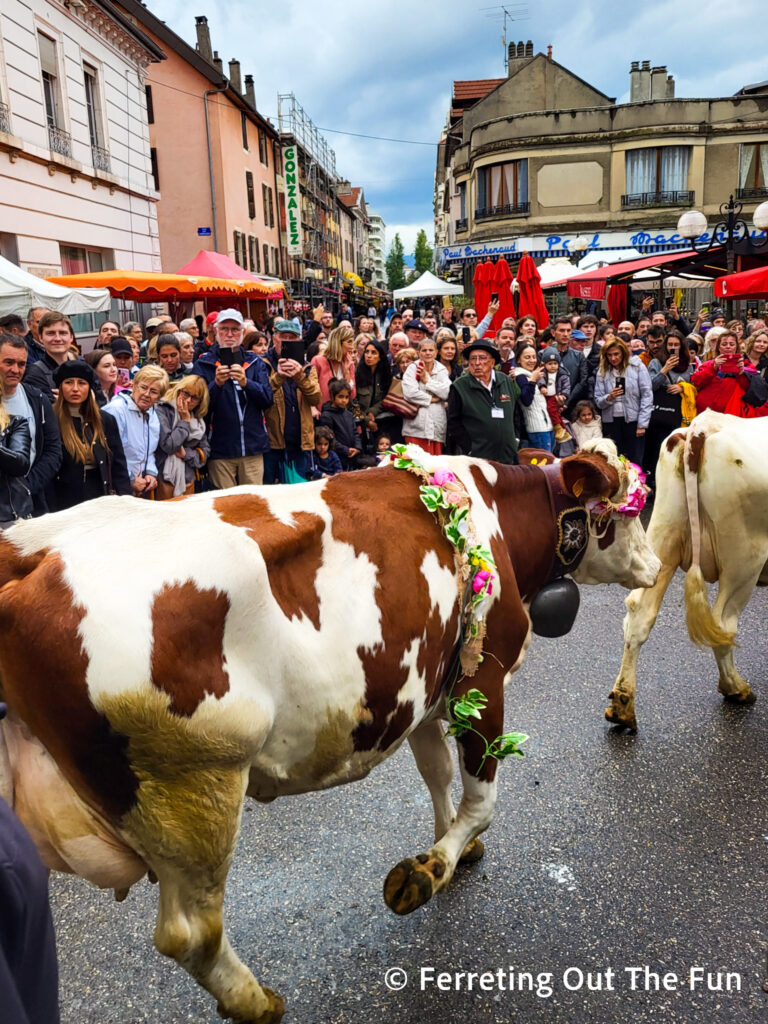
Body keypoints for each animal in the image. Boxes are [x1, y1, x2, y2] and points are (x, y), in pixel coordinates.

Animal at [0, 442, 663, 1024]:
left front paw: (450, 844)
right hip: (190, 791)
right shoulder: (486, 674)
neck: (495, 513)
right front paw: (431, 869)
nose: (657, 566)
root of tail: (35, 560)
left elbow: (437, 774)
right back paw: (256, 1003)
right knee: (190, 933)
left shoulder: (426, 683)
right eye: (631, 506)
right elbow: (482, 797)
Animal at [606, 411, 768, 733]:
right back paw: (736, 688)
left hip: (665, 535)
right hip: (745, 557)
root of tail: (701, 426)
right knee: (723, 623)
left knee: (639, 611)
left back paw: (622, 705)